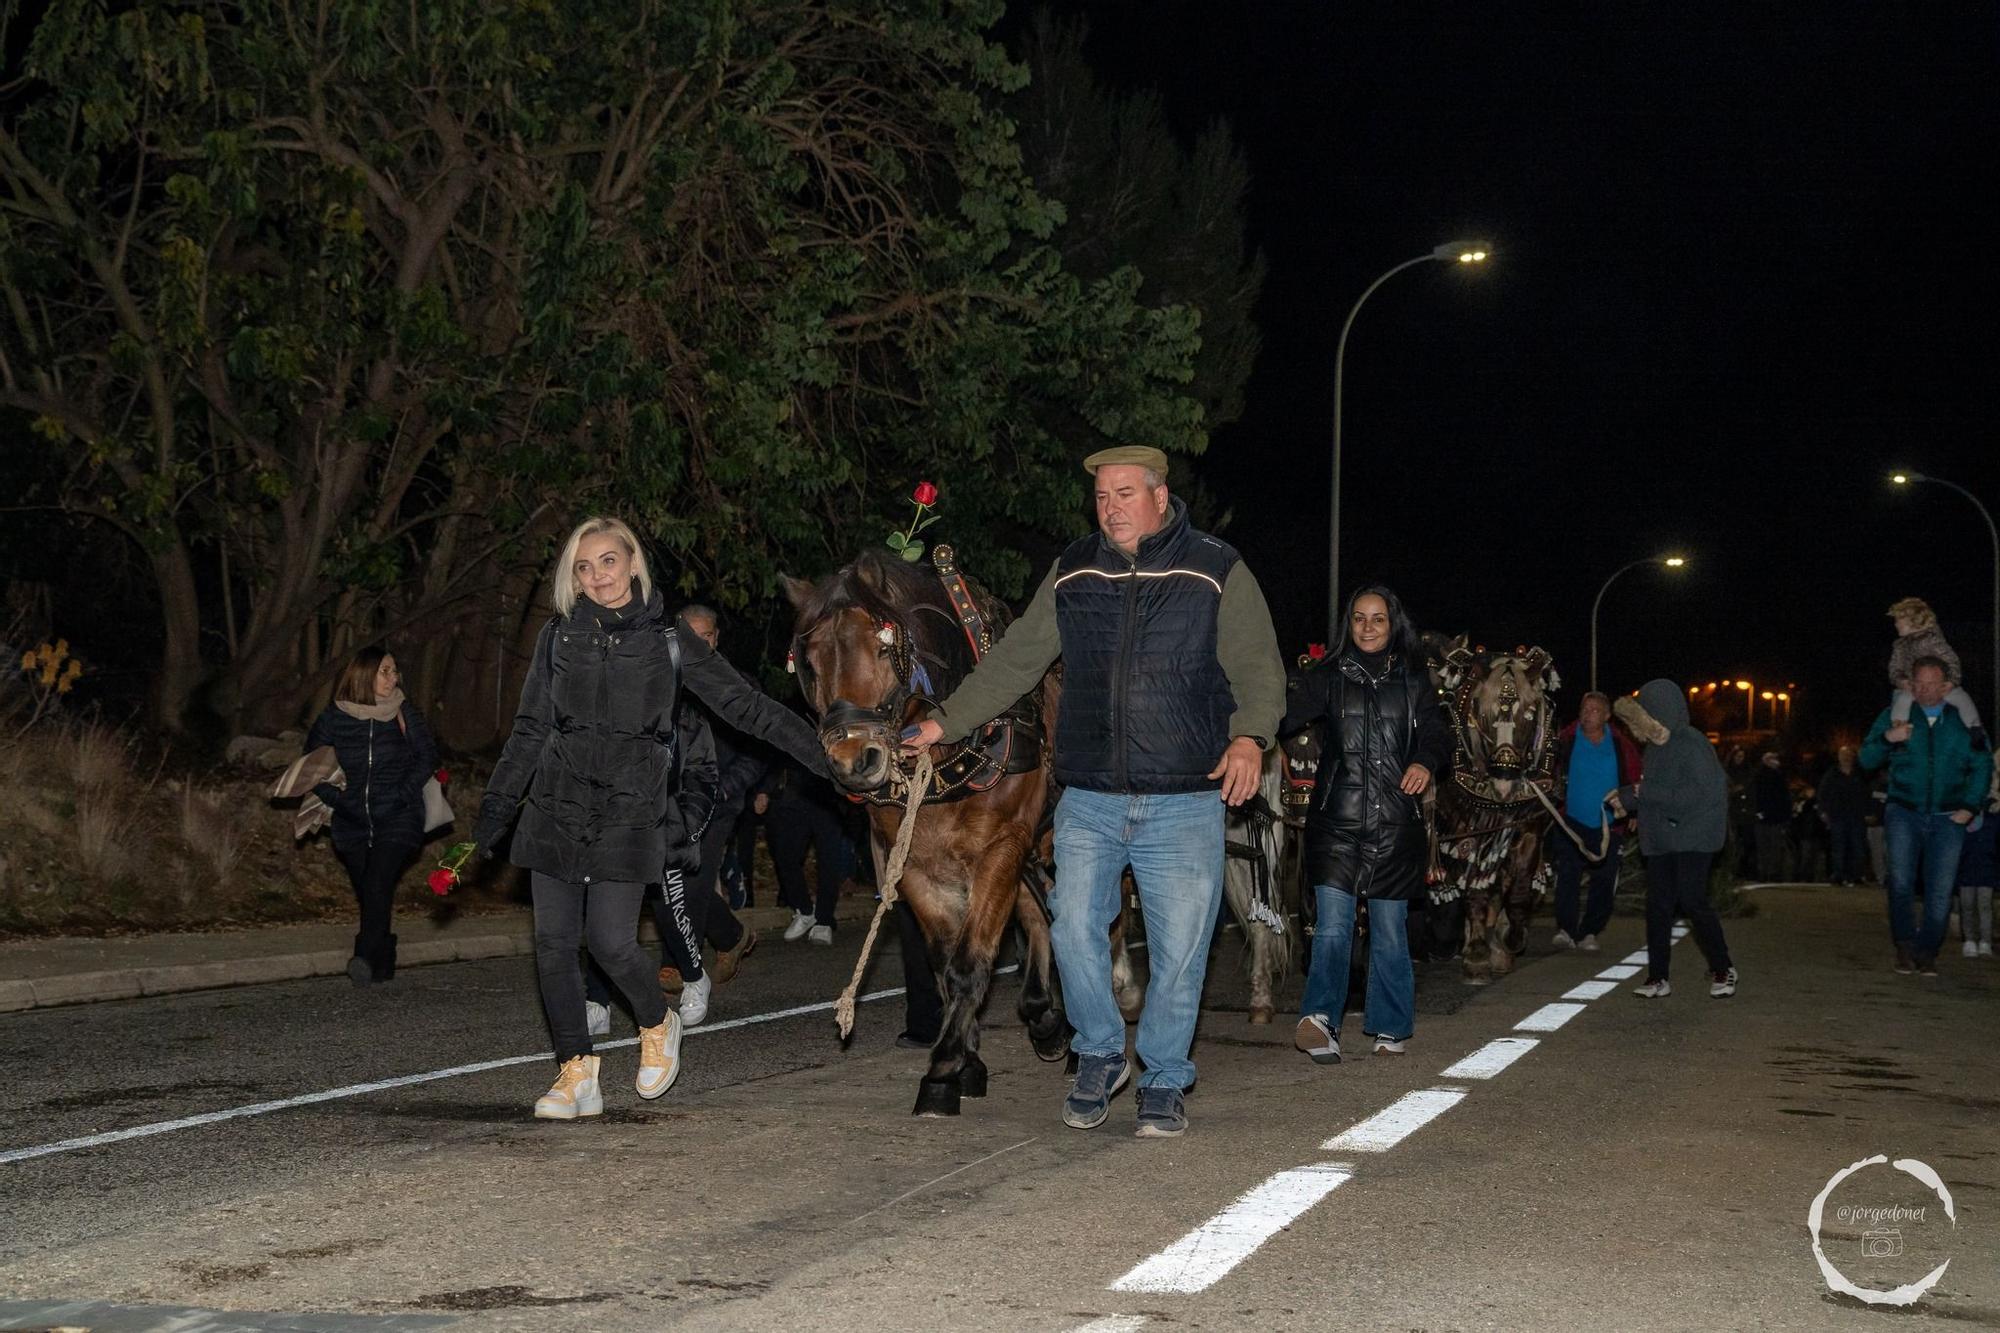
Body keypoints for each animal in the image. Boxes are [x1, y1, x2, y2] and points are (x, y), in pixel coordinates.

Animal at [780, 548, 1072, 1112]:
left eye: (883, 645)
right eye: (810, 662)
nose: (854, 762)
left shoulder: (1001, 847)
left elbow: (970, 959)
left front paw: (942, 1068)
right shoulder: (915, 860)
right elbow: (944, 960)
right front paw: (966, 1060)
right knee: (1038, 917)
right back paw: (1043, 1016)